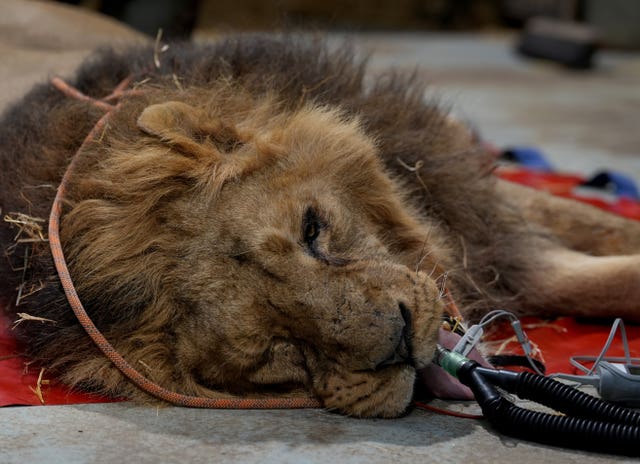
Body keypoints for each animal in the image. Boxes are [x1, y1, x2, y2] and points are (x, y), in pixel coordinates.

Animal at [1, 36, 639, 418]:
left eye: (313, 230)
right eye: (277, 352)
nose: (402, 341)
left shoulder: (468, 191)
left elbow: (586, 232)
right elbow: (581, 280)